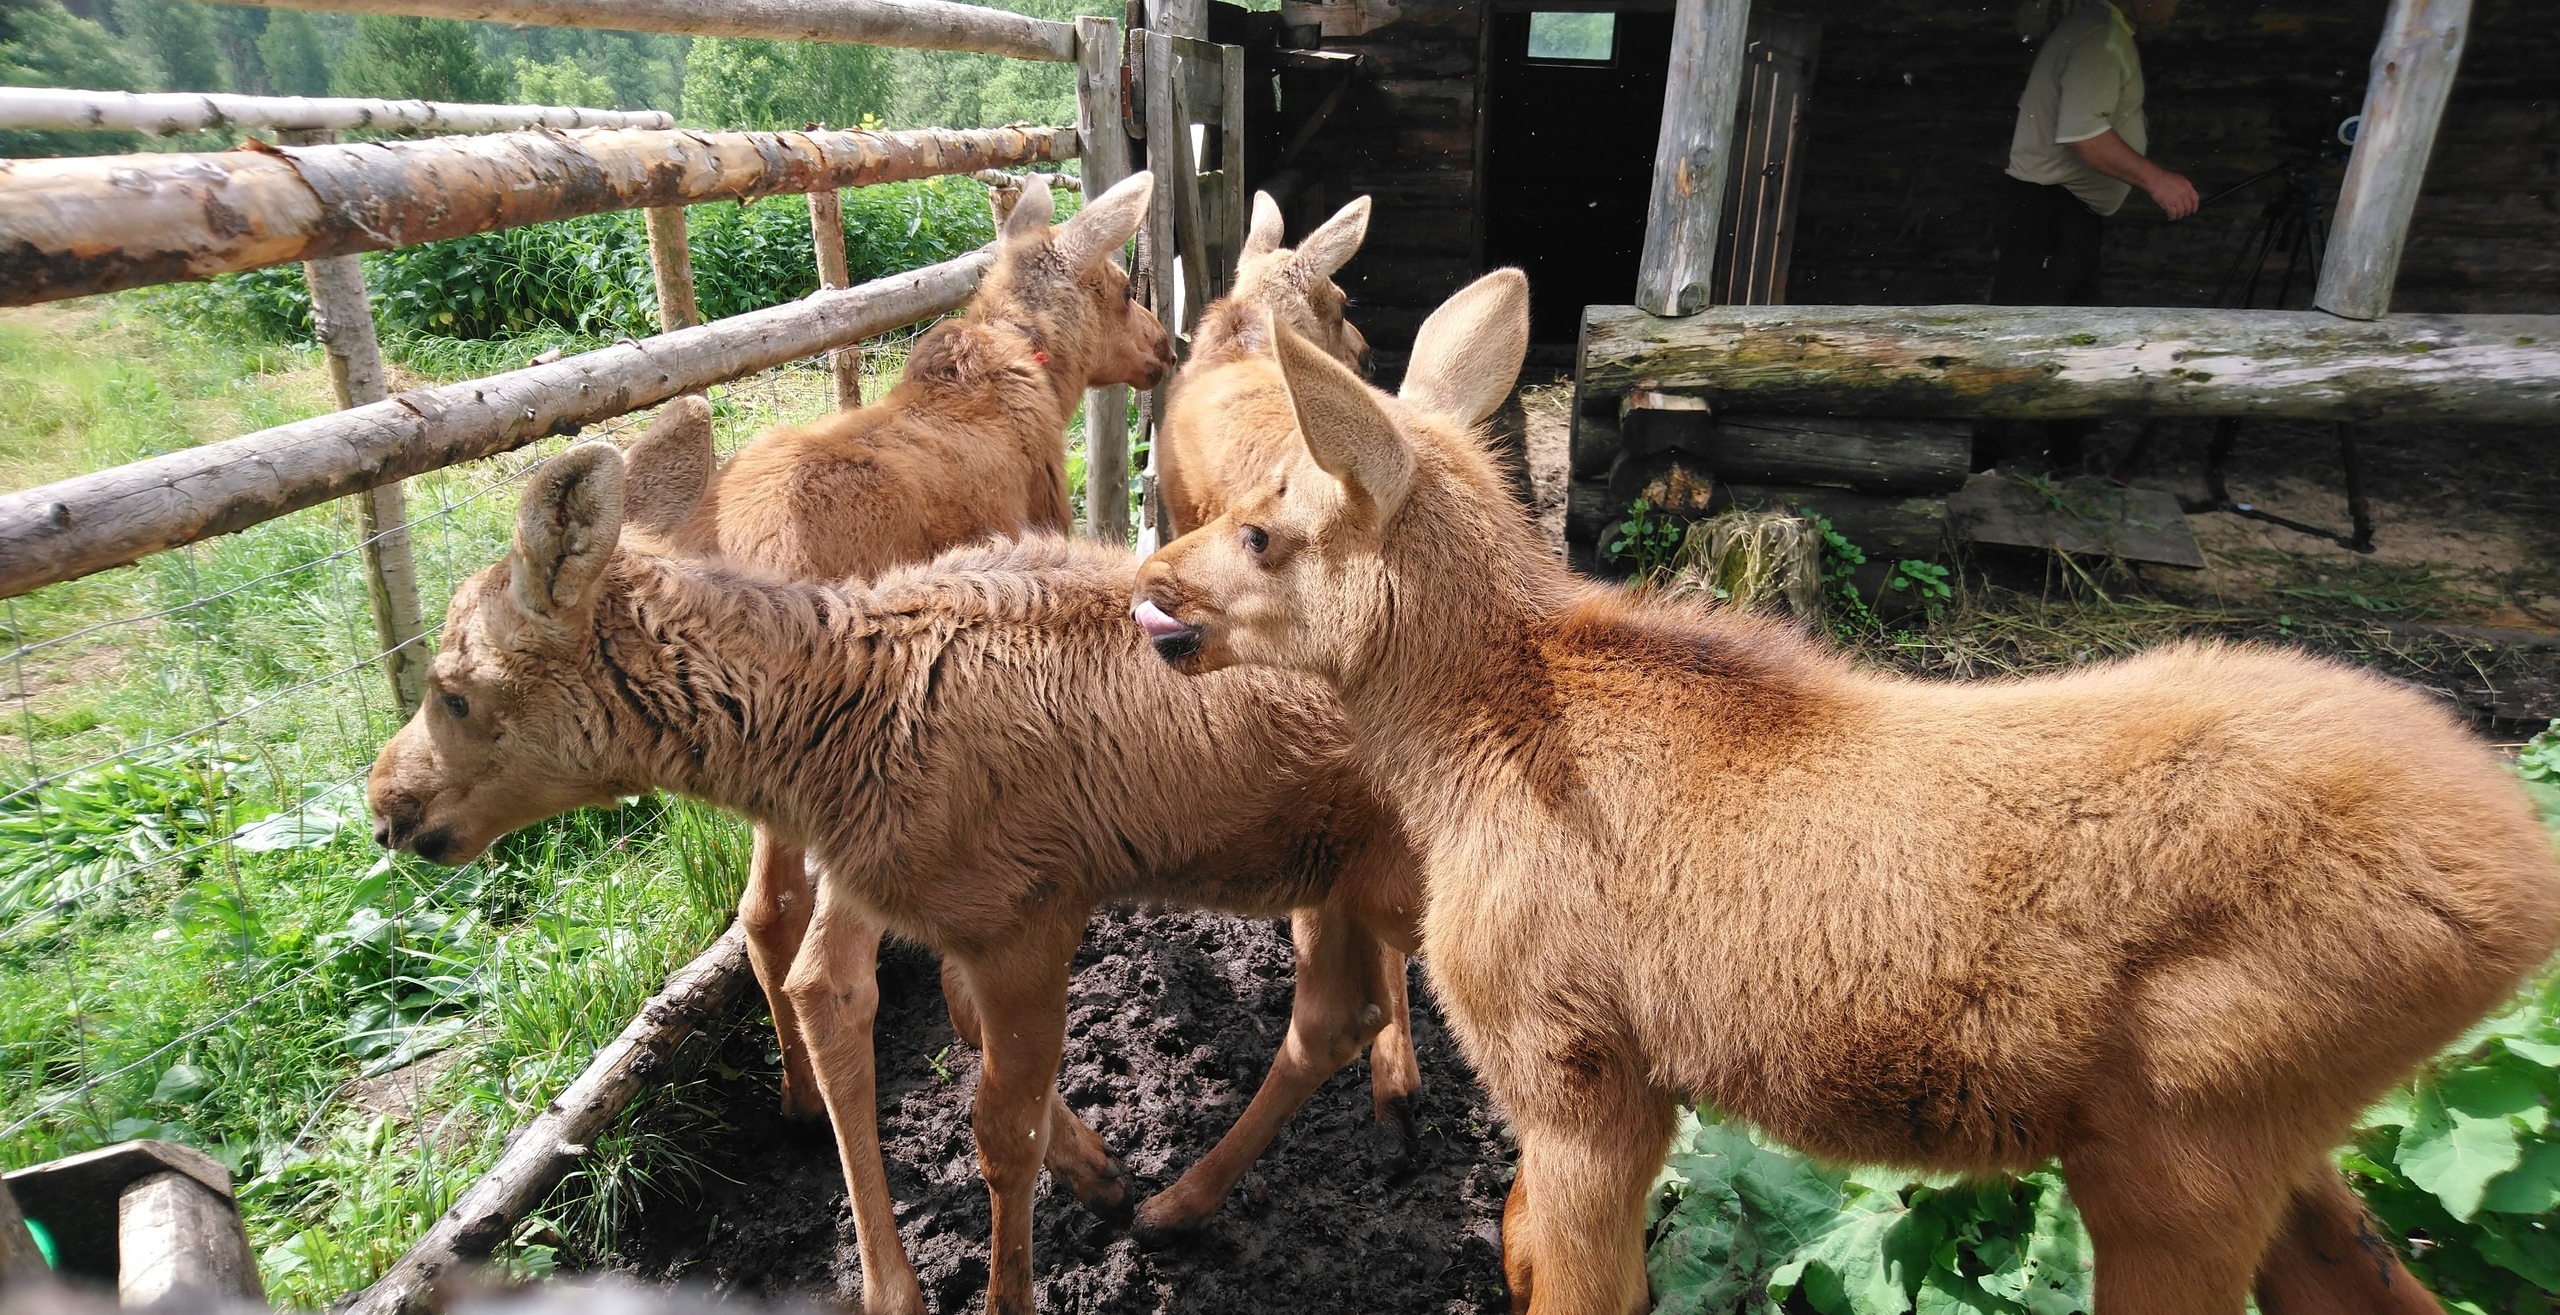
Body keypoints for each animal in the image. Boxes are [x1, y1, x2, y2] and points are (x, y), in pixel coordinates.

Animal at [1136, 268, 2560, 1309]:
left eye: (1264, 529)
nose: (1154, 579)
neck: (1461, 754)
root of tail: (2521, 888)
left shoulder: (1575, 1066)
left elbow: (1578, 1281)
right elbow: (1519, 1244)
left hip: (2184, 1145)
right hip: (2273, 1143)